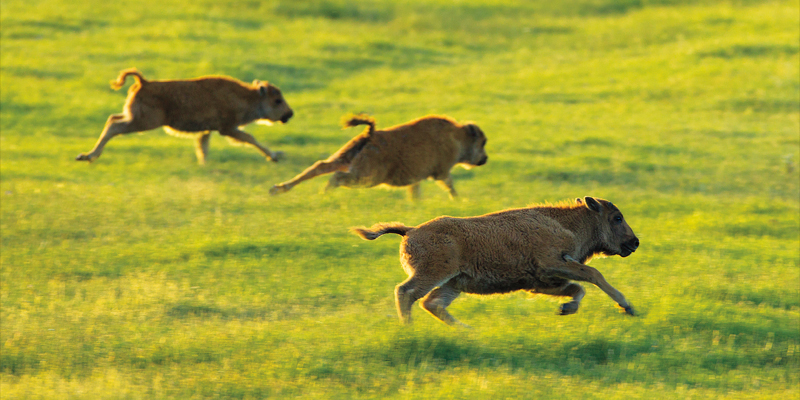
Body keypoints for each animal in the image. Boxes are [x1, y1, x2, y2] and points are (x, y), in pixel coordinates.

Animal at [74, 69, 294, 164]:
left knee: (112, 119)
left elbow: (203, 146)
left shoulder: (209, 130)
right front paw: (275, 155)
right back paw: (89, 156)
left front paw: (203, 164)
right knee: (115, 127)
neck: (246, 96)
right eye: (277, 100)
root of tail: (144, 82)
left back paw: (87, 155)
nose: (289, 114)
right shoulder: (228, 128)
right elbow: (250, 138)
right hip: (143, 122)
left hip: (133, 118)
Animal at [268, 114, 488, 198]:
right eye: (482, 142)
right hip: (368, 177)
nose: (484, 159)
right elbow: (450, 186)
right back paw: (323, 193)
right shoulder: (441, 172)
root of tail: (369, 135)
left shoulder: (416, 178)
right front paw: (460, 201)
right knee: (337, 177)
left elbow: (415, 193)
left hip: (343, 159)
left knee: (319, 167)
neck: (456, 136)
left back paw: (278, 189)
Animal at [354, 196, 640, 324]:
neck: (566, 224)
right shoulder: (553, 264)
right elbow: (593, 275)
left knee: (432, 303)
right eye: (616, 218)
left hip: (453, 283)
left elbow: (577, 288)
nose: (635, 242)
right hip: (433, 274)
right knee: (406, 292)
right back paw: (409, 327)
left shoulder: (542, 282)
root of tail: (410, 230)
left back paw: (465, 330)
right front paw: (628, 307)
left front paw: (565, 308)